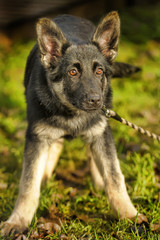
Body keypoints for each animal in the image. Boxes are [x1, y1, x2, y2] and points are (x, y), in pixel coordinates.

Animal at [1, 12, 139, 235]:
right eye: (73, 72)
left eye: (99, 71)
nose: (96, 100)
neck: (71, 111)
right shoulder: (36, 136)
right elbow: (28, 183)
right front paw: (18, 220)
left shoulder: (101, 131)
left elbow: (114, 176)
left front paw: (129, 214)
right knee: (55, 146)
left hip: (100, 130)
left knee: (94, 152)